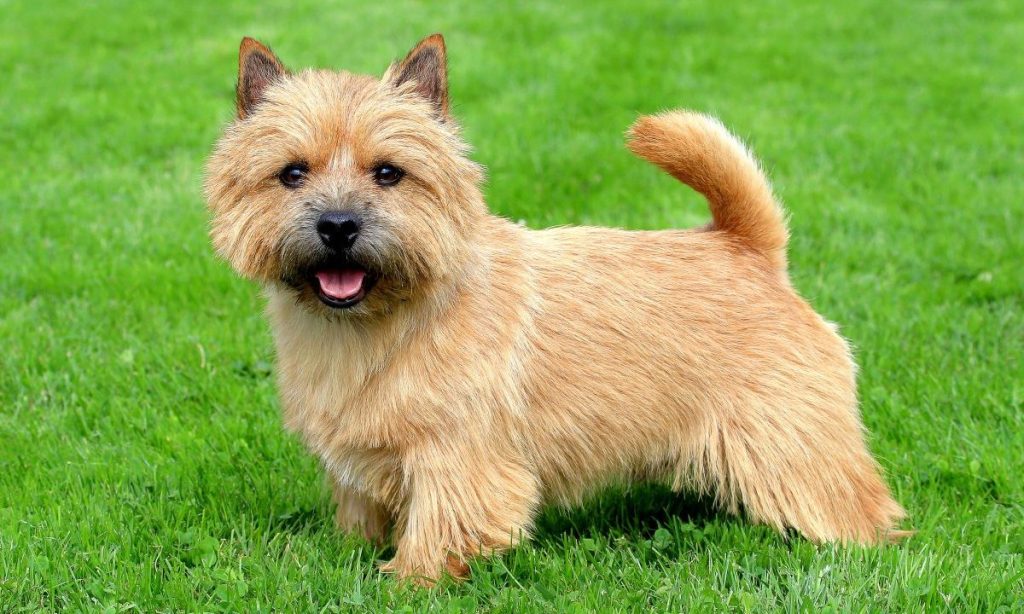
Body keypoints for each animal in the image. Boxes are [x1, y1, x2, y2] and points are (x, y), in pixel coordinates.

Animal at [201, 34, 905, 585]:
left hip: (790, 440)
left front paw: (405, 581)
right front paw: (346, 554)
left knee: (851, 506)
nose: (338, 225)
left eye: (389, 173)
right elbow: (359, 513)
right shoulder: (359, 460)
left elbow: (439, 529)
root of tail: (748, 246)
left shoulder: (457, 458)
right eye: (292, 173)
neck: (377, 325)